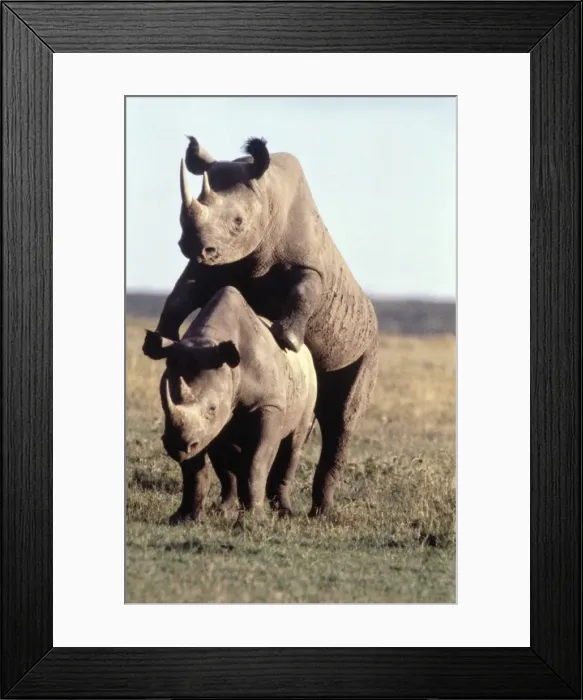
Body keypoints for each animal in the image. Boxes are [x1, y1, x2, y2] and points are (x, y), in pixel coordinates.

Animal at [147, 285, 317, 522]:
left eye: (212, 408)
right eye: (163, 403)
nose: (176, 446)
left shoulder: (269, 404)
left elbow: (257, 461)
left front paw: (254, 520)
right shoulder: (201, 429)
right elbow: (195, 468)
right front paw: (183, 518)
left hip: (310, 381)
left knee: (293, 444)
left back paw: (285, 513)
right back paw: (223, 509)